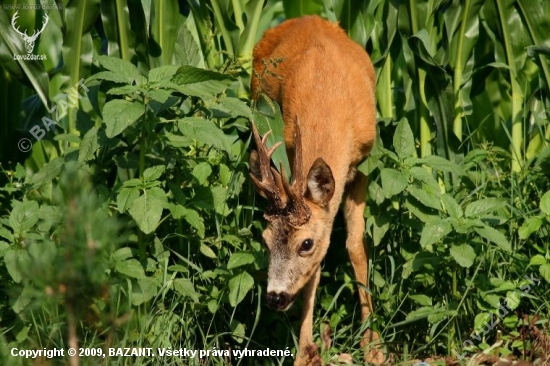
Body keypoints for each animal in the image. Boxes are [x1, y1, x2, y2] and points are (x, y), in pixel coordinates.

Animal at [250, 15, 384, 366]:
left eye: (306, 243)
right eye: (264, 240)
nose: (274, 297)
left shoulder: (362, 163)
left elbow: (355, 246)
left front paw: (374, 347)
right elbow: (314, 275)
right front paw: (304, 353)